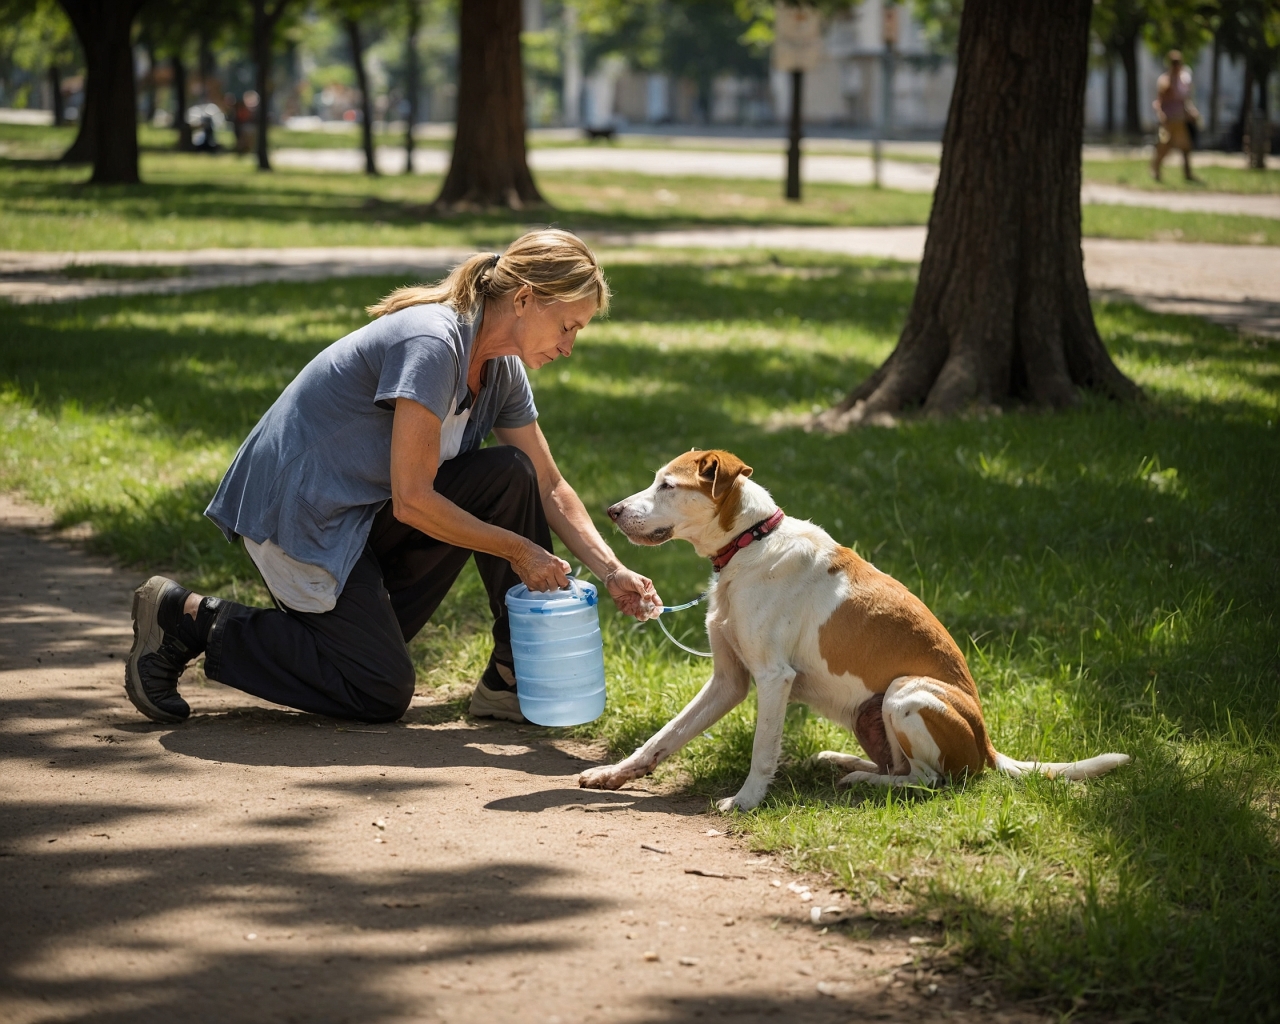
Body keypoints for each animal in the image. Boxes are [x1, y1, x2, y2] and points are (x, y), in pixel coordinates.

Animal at [581, 448, 1131, 808]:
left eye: (667, 486)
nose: (611, 511)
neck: (750, 543)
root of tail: (988, 747)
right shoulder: (728, 680)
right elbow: (664, 737)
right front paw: (614, 774)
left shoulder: (773, 679)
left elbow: (761, 752)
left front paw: (745, 802)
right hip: (873, 714)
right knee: (901, 767)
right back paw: (843, 762)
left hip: (907, 694)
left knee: (929, 780)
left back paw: (864, 783)